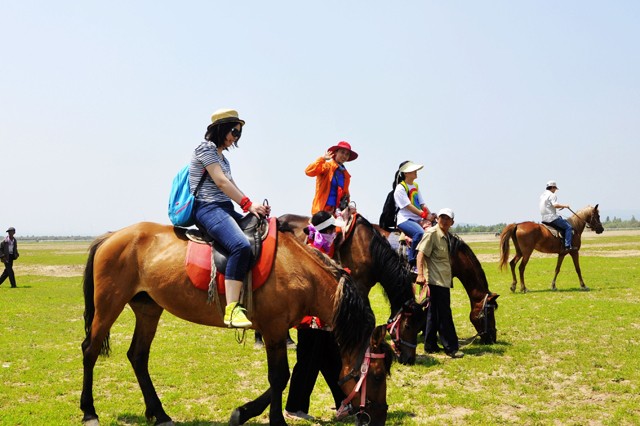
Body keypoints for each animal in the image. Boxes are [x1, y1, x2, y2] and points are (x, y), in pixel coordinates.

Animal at [80, 220, 390, 426]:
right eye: (376, 375)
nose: (380, 416)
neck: (300, 271)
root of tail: (110, 237)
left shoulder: (276, 331)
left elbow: (281, 378)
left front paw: (243, 412)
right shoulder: (274, 330)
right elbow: (280, 377)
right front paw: (271, 420)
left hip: (148, 310)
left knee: (138, 356)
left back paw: (159, 413)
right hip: (109, 305)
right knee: (90, 350)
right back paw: (89, 411)